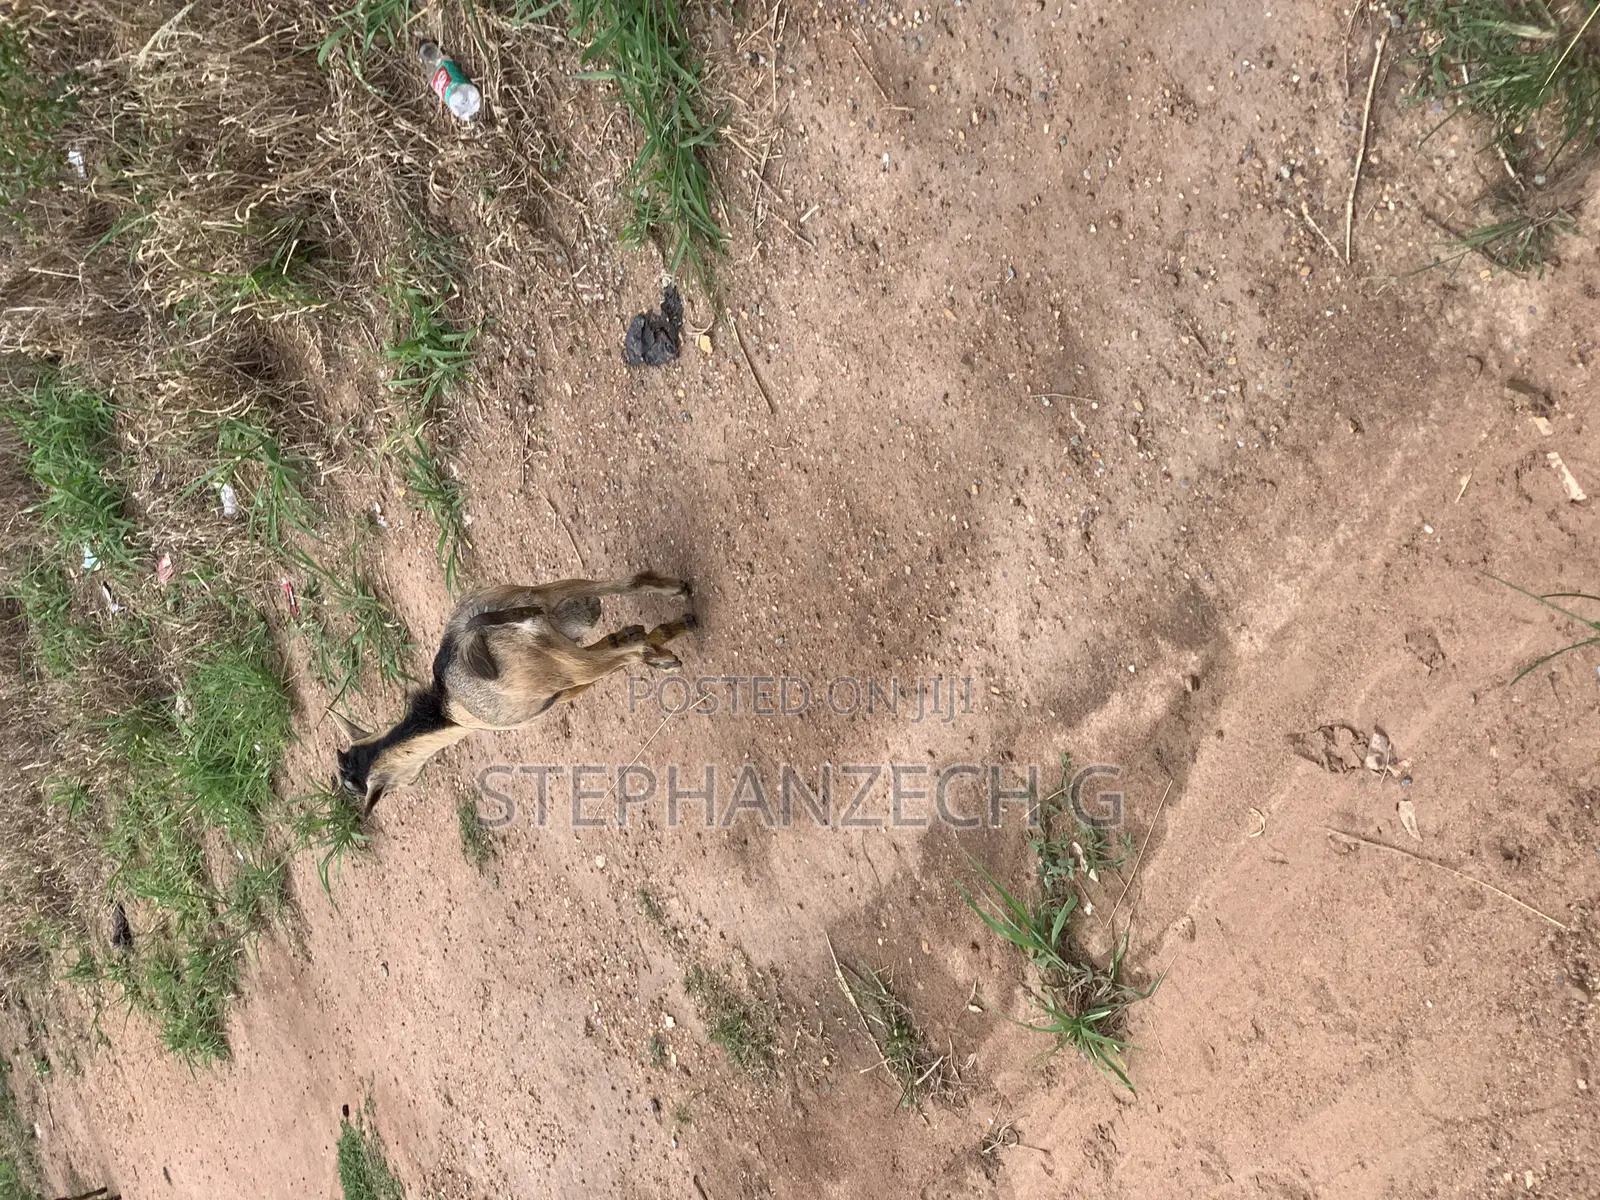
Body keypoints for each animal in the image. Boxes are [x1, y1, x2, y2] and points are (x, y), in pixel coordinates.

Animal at [333, 571, 696, 812]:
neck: (446, 711)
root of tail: (480, 628)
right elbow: (619, 638)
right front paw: (648, 630)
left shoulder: (561, 691)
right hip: (545, 595)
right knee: (629, 584)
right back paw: (681, 600)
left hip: (564, 665)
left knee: (631, 653)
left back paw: (665, 658)